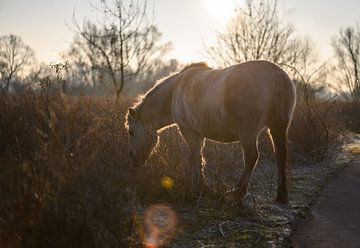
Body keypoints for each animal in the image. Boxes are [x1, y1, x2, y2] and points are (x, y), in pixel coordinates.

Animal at [126, 60, 296, 203]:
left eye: (131, 132)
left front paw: (198, 187)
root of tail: (277, 77)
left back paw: (238, 192)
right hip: (278, 127)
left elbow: (194, 157)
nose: (134, 161)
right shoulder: (199, 135)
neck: (174, 91)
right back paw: (281, 195)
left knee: (251, 157)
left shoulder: (189, 132)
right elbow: (199, 157)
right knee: (281, 155)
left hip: (248, 132)